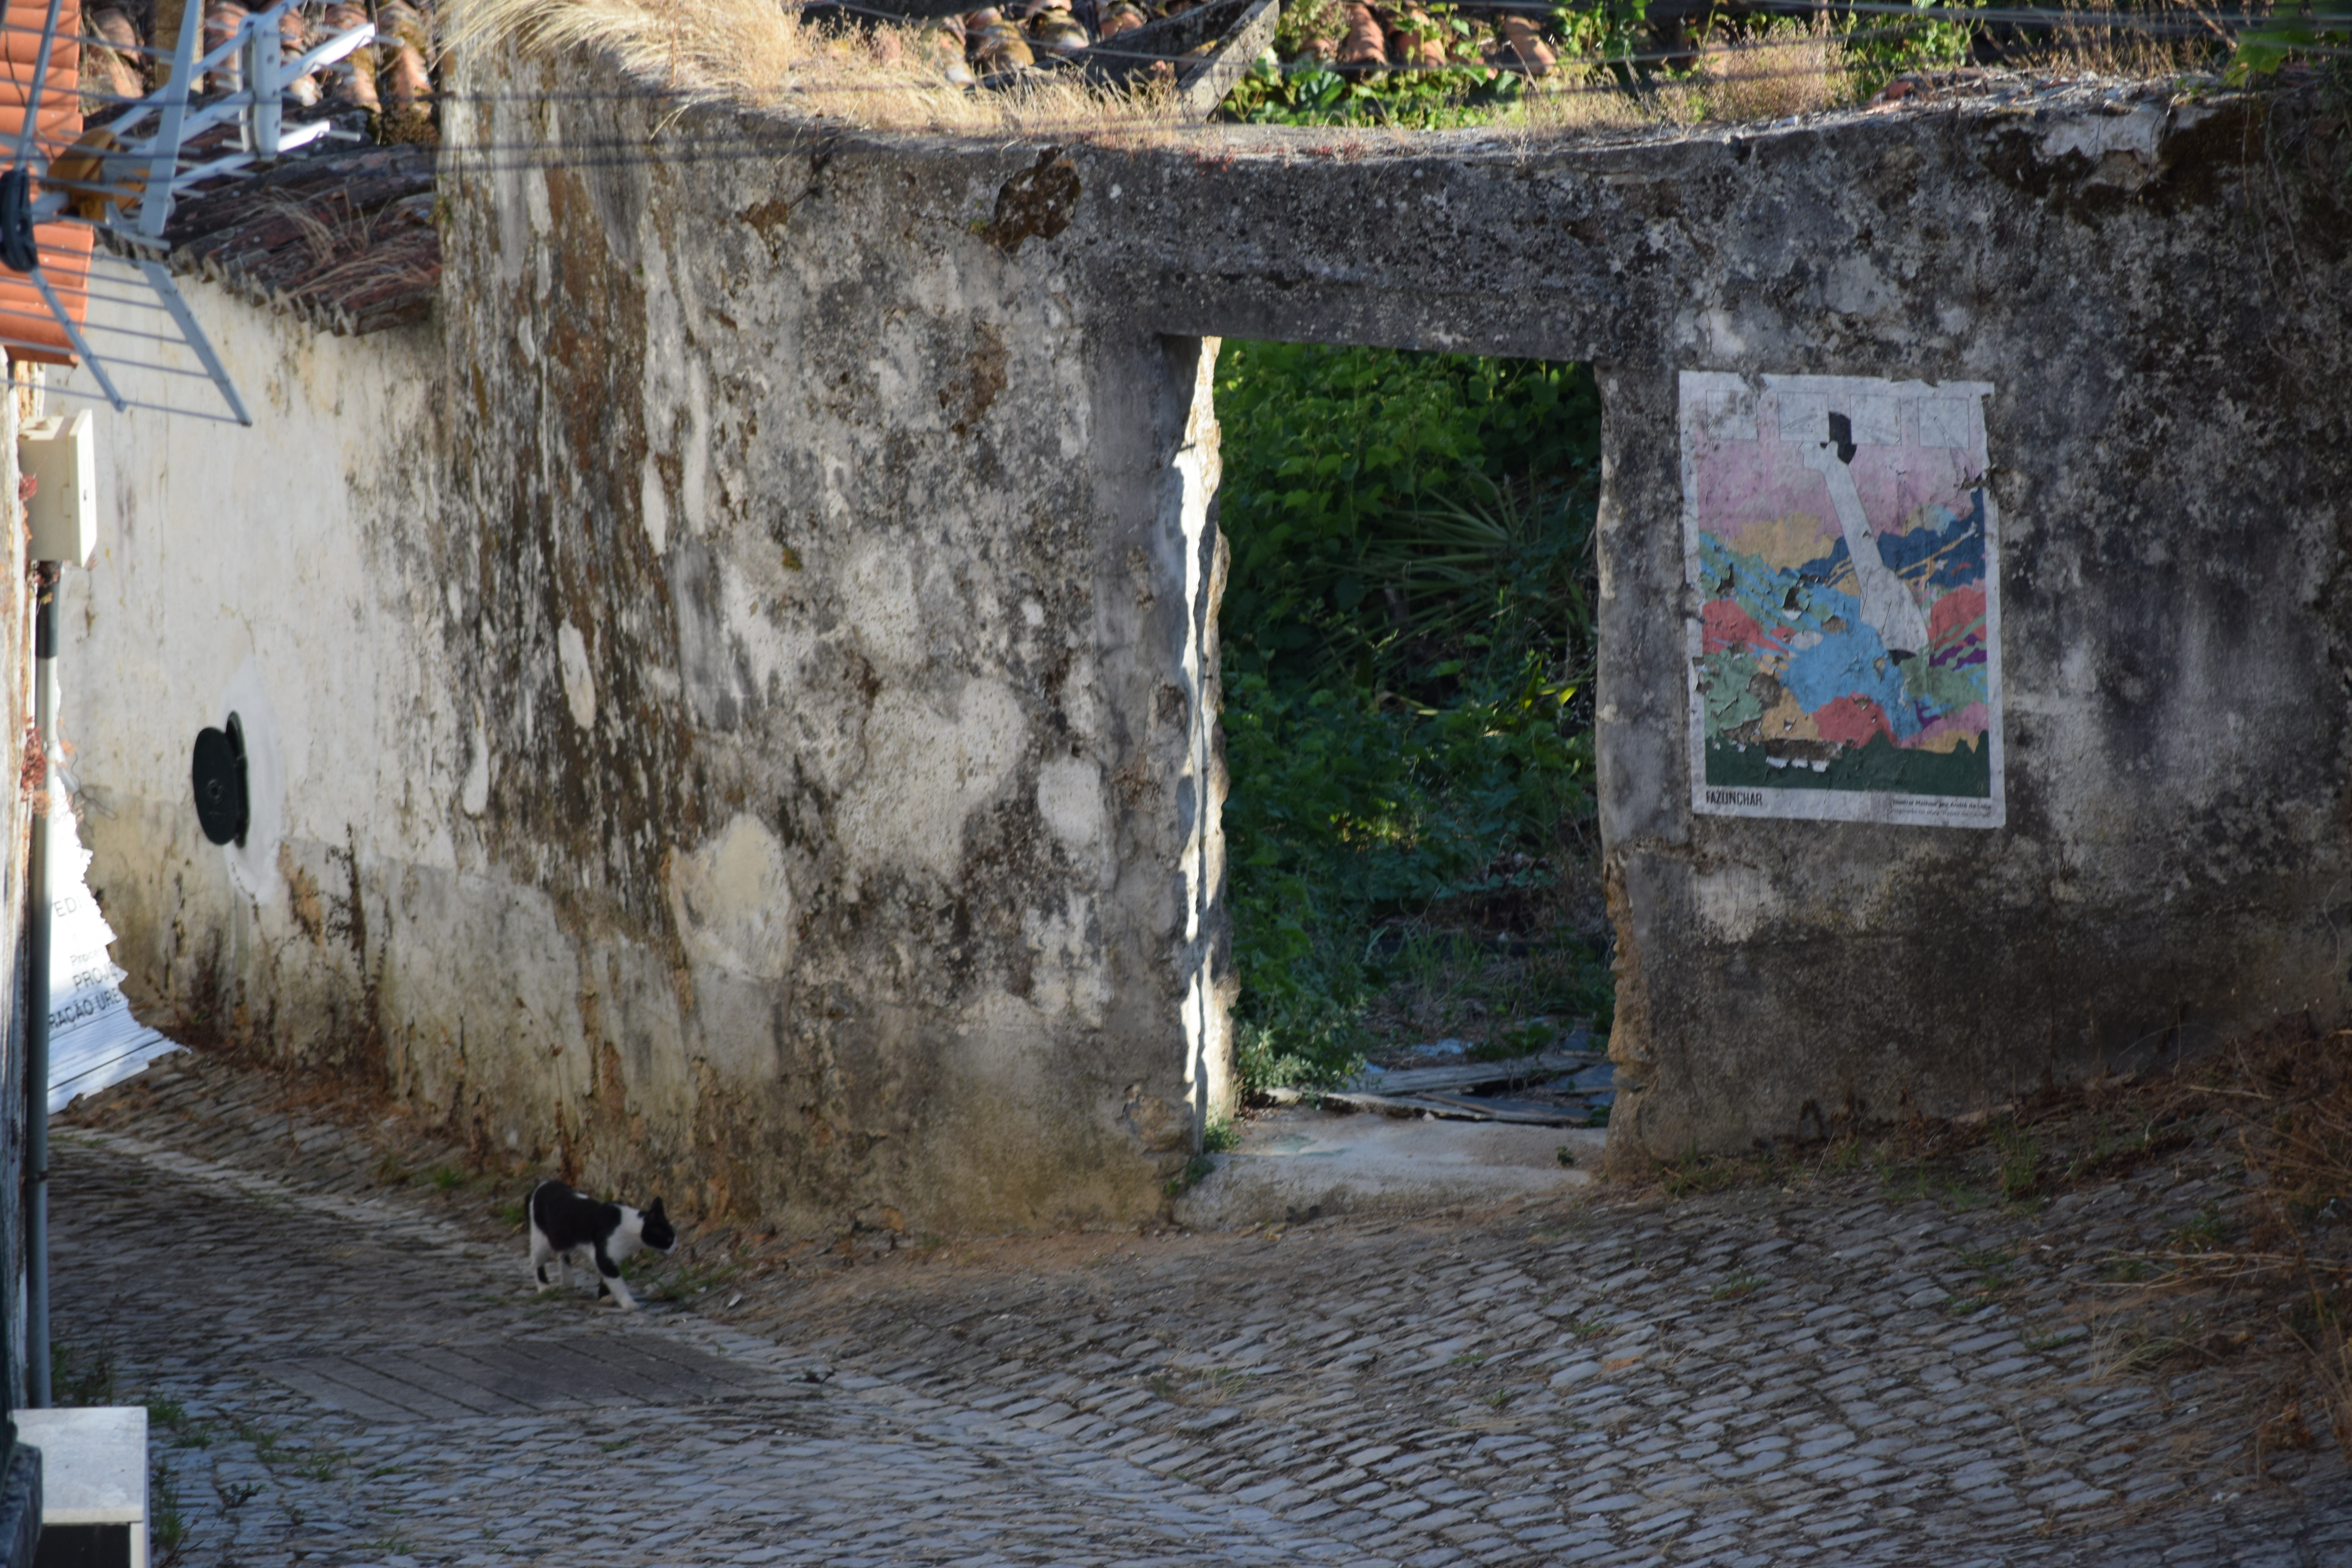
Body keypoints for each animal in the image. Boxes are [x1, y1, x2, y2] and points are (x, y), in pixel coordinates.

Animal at [529, 1175, 677, 1316]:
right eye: (669, 1239)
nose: (676, 1248)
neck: (627, 1226)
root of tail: (545, 1183)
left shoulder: (613, 1257)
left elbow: (607, 1278)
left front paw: (605, 1296)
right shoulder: (604, 1255)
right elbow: (617, 1281)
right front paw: (628, 1302)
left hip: (561, 1237)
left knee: (562, 1252)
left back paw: (568, 1280)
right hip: (541, 1239)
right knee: (538, 1262)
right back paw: (544, 1287)